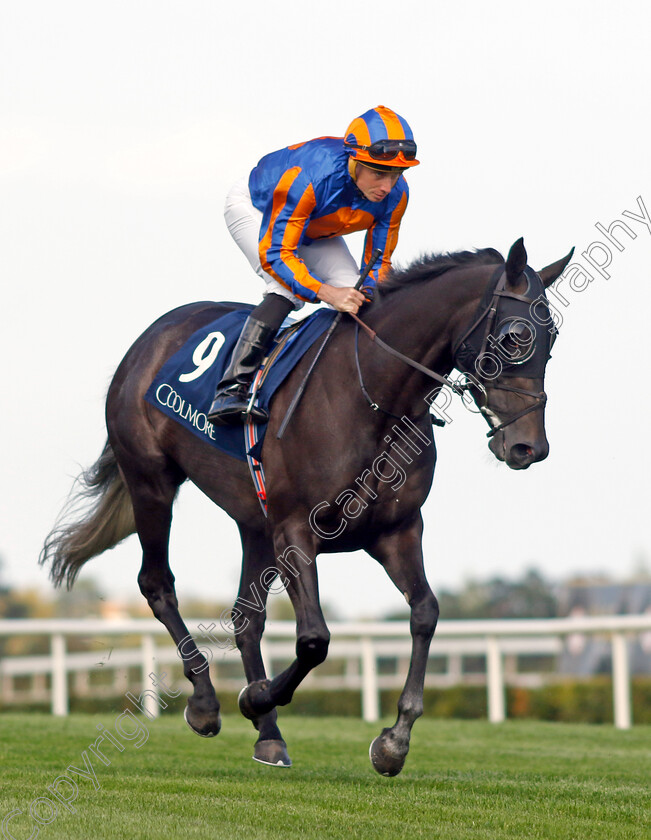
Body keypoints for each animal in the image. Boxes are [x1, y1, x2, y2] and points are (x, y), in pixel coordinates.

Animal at [39, 236, 572, 776]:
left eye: (552, 341)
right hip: (151, 481)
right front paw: (254, 697)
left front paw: (394, 740)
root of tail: (150, 338)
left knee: (245, 619)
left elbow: (425, 612)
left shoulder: (397, 530)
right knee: (157, 584)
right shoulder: (295, 530)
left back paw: (269, 737)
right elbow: (314, 639)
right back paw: (207, 703)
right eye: (515, 337)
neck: (374, 399)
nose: (530, 447)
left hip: (253, 522)